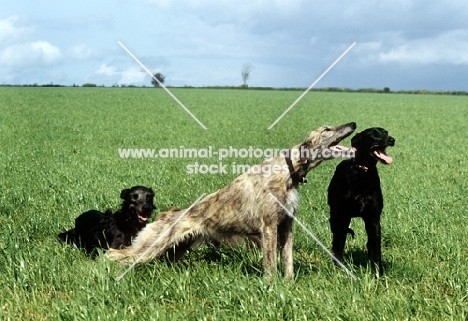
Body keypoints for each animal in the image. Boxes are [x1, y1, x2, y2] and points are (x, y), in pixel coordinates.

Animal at [330, 126, 394, 274]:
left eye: (386, 132)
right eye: (374, 134)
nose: (392, 140)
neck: (363, 173)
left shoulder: (373, 220)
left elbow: (376, 249)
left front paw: (378, 273)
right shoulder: (342, 217)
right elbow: (339, 244)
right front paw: (339, 269)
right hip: (336, 218)